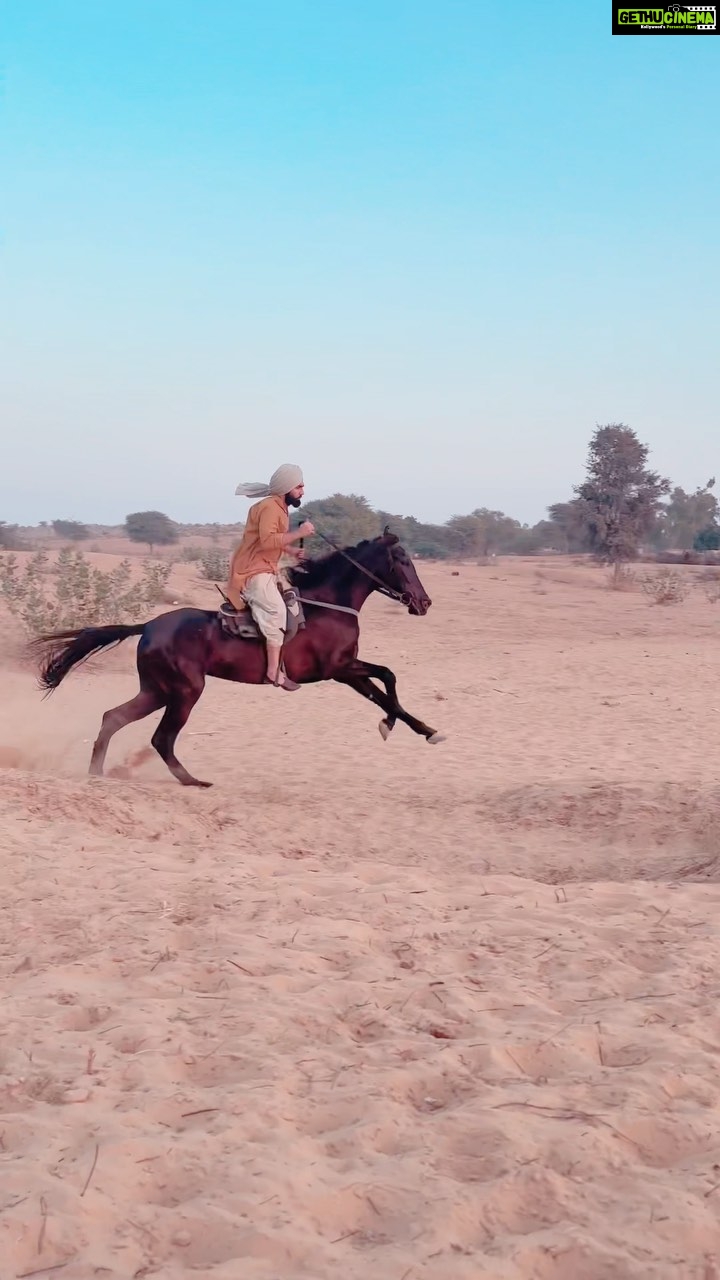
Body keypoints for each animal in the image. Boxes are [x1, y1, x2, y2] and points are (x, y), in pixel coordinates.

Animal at [35, 532, 443, 788]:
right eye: (402, 561)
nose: (424, 603)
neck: (328, 604)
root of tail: (148, 625)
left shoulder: (347, 669)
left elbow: (386, 682)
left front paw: (406, 726)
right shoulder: (338, 670)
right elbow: (386, 682)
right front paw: (414, 728)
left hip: (156, 690)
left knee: (113, 718)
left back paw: (97, 773)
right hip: (185, 691)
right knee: (161, 738)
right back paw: (192, 781)